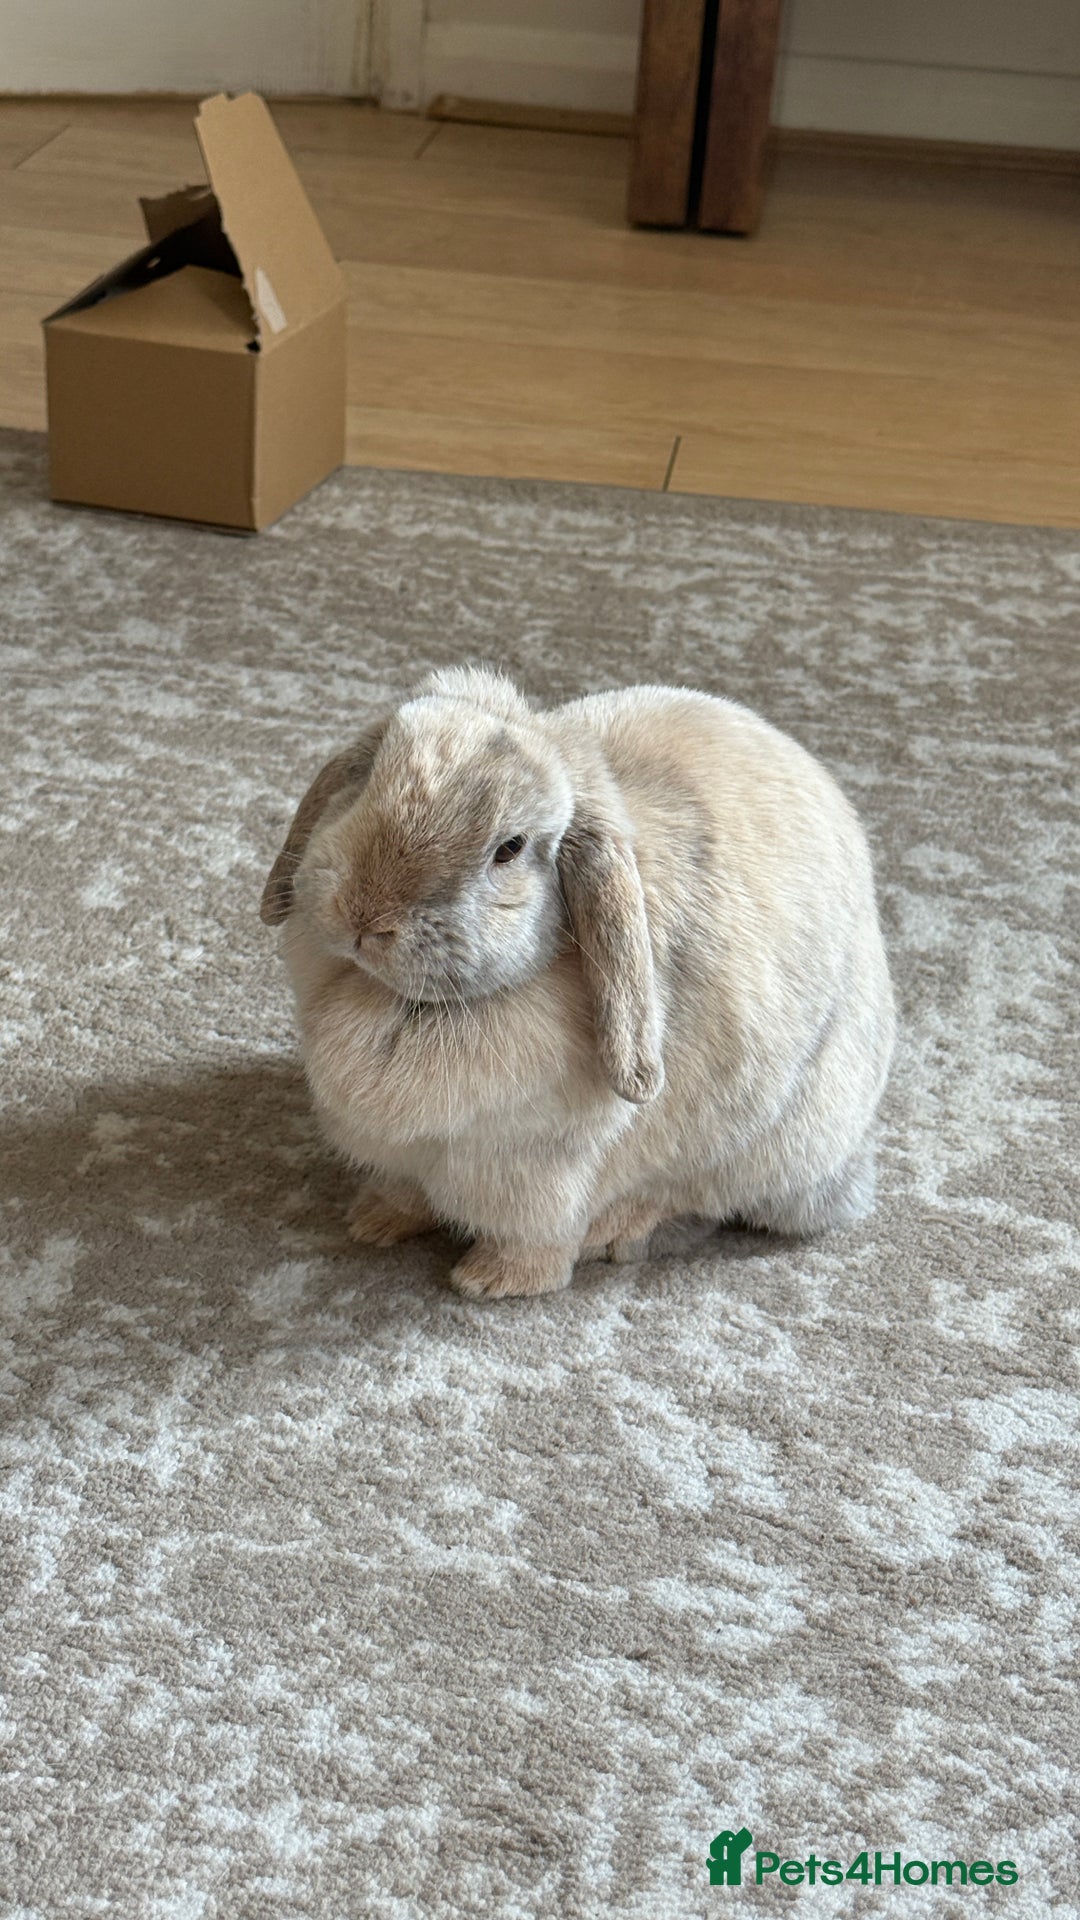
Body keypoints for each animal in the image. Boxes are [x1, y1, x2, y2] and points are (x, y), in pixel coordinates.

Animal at [261, 665, 895, 1299]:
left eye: (510, 848)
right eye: (370, 782)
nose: (365, 916)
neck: (397, 999)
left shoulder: (542, 1173)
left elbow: (539, 1240)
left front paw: (492, 1281)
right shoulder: (401, 1157)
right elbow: (404, 1192)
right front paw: (372, 1221)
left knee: (700, 1199)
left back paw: (619, 1231)